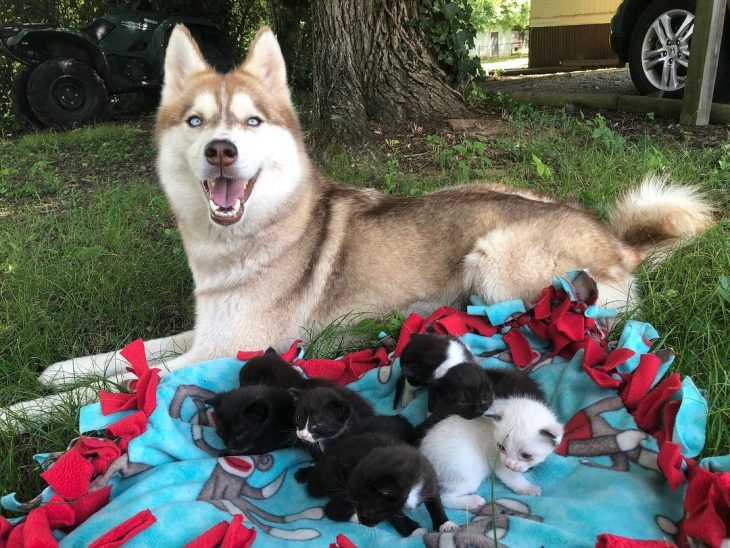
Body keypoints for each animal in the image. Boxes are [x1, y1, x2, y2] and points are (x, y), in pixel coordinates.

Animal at [4, 23, 712, 422]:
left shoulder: (223, 350)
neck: (244, 241)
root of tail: (618, 243)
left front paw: (22, 411)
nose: (221, 151)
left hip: (494, 259)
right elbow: (129, 355)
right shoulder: (205, 332)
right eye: (196, 121)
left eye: (251, 122)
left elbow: (127, 383)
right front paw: (60, 369)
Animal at [302, 432, 456, 536]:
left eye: (369, 512)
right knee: (330, 509)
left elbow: (435, 503)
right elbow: (395, 515)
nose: (363, 520)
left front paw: (445, 524)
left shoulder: (429, 477)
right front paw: (412, 529)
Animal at [416, 398, 564, 510]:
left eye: (526, 455)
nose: (509, 464)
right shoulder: (497, 461)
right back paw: (473, 502)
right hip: (468, 474)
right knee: (444, 498)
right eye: (501, 447)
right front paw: (528, 488)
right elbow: (514, 478)